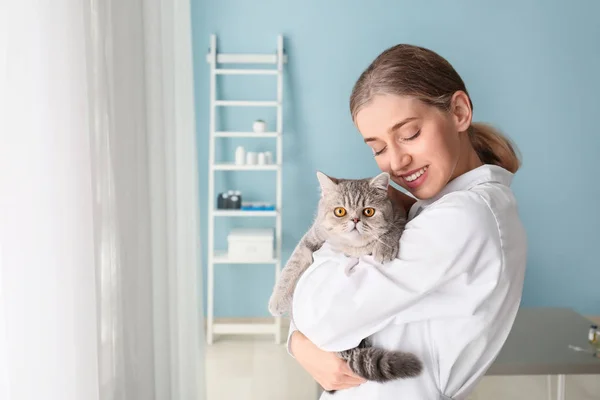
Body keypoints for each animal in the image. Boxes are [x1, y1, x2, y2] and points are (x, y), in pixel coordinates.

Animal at [268, 170, 422, 392]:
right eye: (340, 211)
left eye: (368, 211)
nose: (355, 220)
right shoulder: (312, 237)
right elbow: (292, 264)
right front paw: (277, 301)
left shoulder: (399, 216)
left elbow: (391, 231)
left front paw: (384, 248)